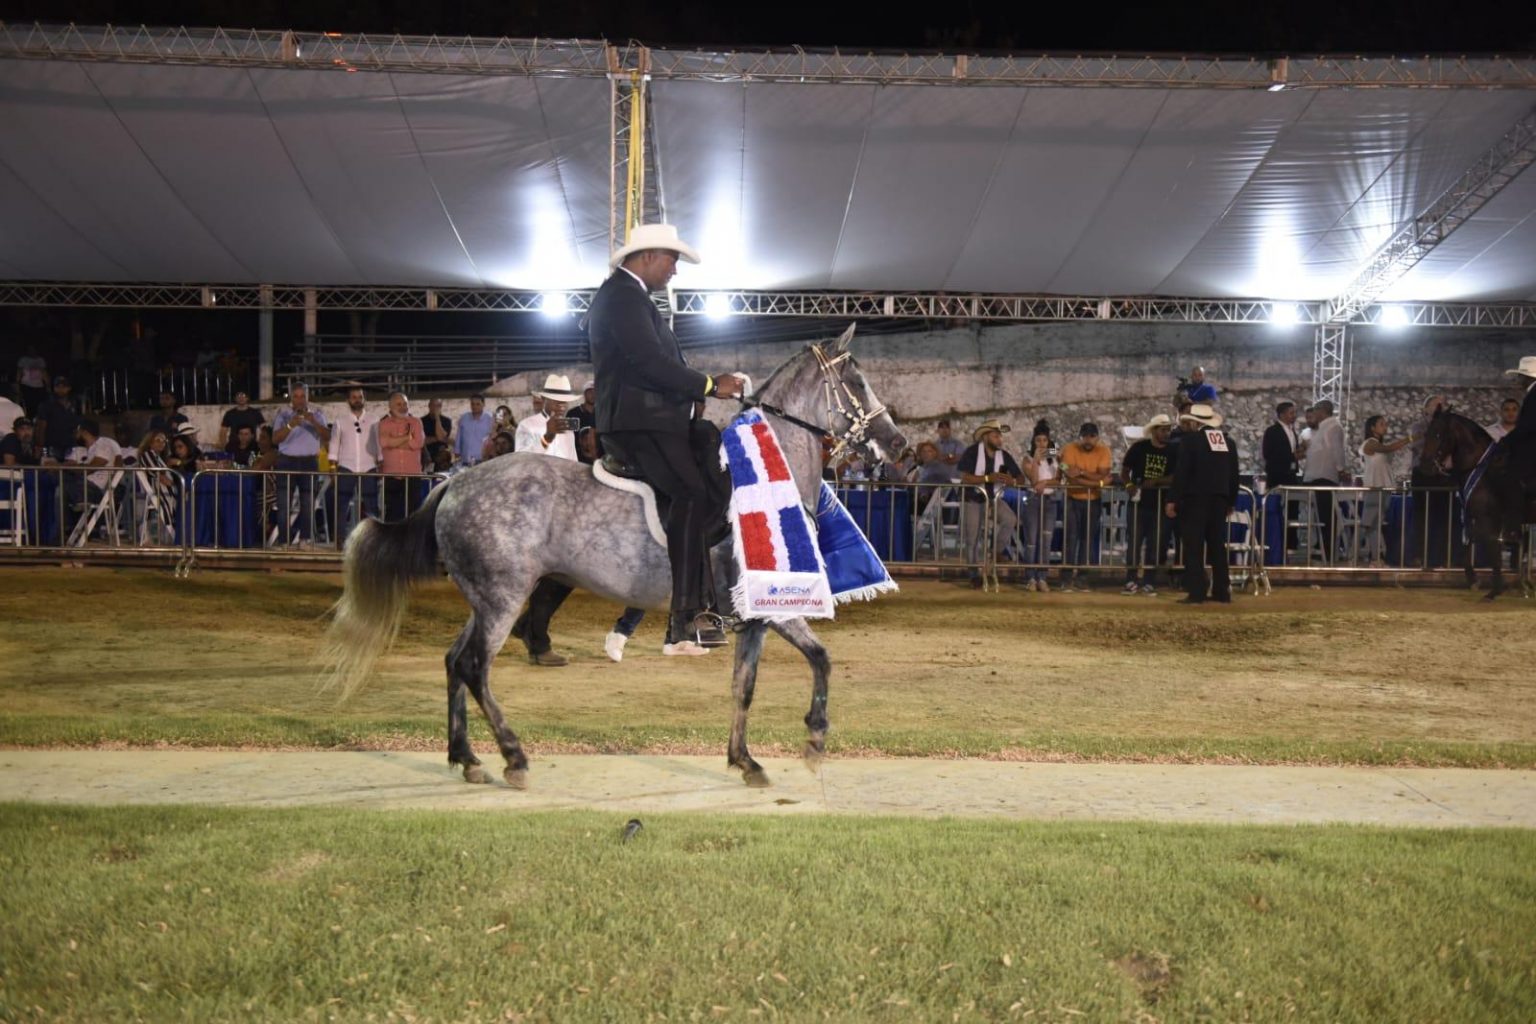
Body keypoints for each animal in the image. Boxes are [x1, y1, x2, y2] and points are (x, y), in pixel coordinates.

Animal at [319, 333, 903, 792]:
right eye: (855, 381)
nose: (895, 443)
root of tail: (455, 483)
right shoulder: (774, 606)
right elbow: (817, 660)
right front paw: (814, 739)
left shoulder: (756, 616)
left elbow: (750, 684)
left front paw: (747, 762)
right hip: (503, 598)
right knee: (473, 666)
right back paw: (513, 757)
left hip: (485, 599)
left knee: (453, 662)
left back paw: (466, 759)